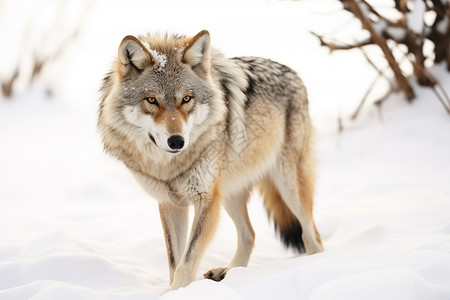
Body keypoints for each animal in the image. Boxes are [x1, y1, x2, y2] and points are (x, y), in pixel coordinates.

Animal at [98, 29, 324, 288]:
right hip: (228, 194)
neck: (168, 167)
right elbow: (175, 261)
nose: (177, 141)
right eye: (152, 100)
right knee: (249, 235)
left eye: (187, 99)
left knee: (311, 234)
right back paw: (228, 273)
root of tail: (293, 74)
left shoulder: (206, 200)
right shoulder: (171, 203)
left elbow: (187, 261)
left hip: (288, 187)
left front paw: (180, 290)